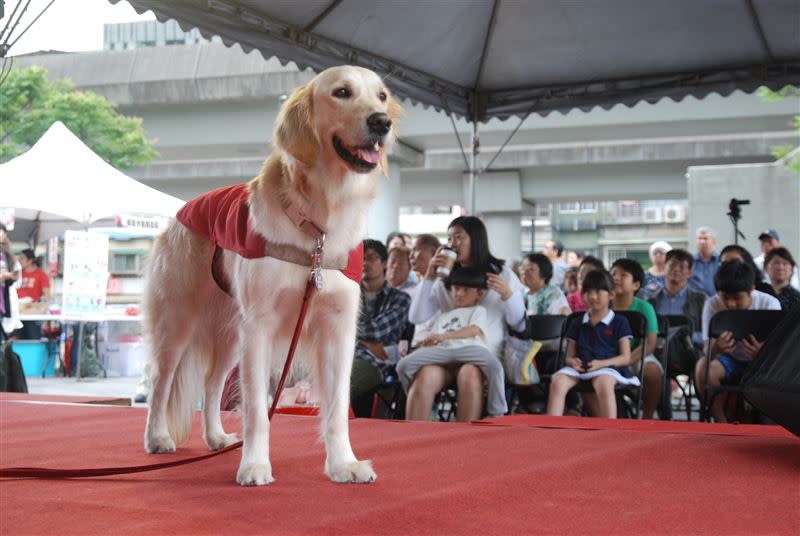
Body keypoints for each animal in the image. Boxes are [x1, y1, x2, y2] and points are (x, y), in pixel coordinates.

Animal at [142, 63, 400, 486]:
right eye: (342, 92)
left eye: (381, 96)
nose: (382, 122)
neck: (318, 225)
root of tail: (183, 210)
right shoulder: (260, 327)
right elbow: (257, 412)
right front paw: (254, 465)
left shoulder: (338, 327)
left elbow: (336, 407)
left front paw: (343, 463)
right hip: (178, 324)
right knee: (160, 385)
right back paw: (158, 437)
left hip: (231, 334)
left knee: (212, 384)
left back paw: (215, 437)